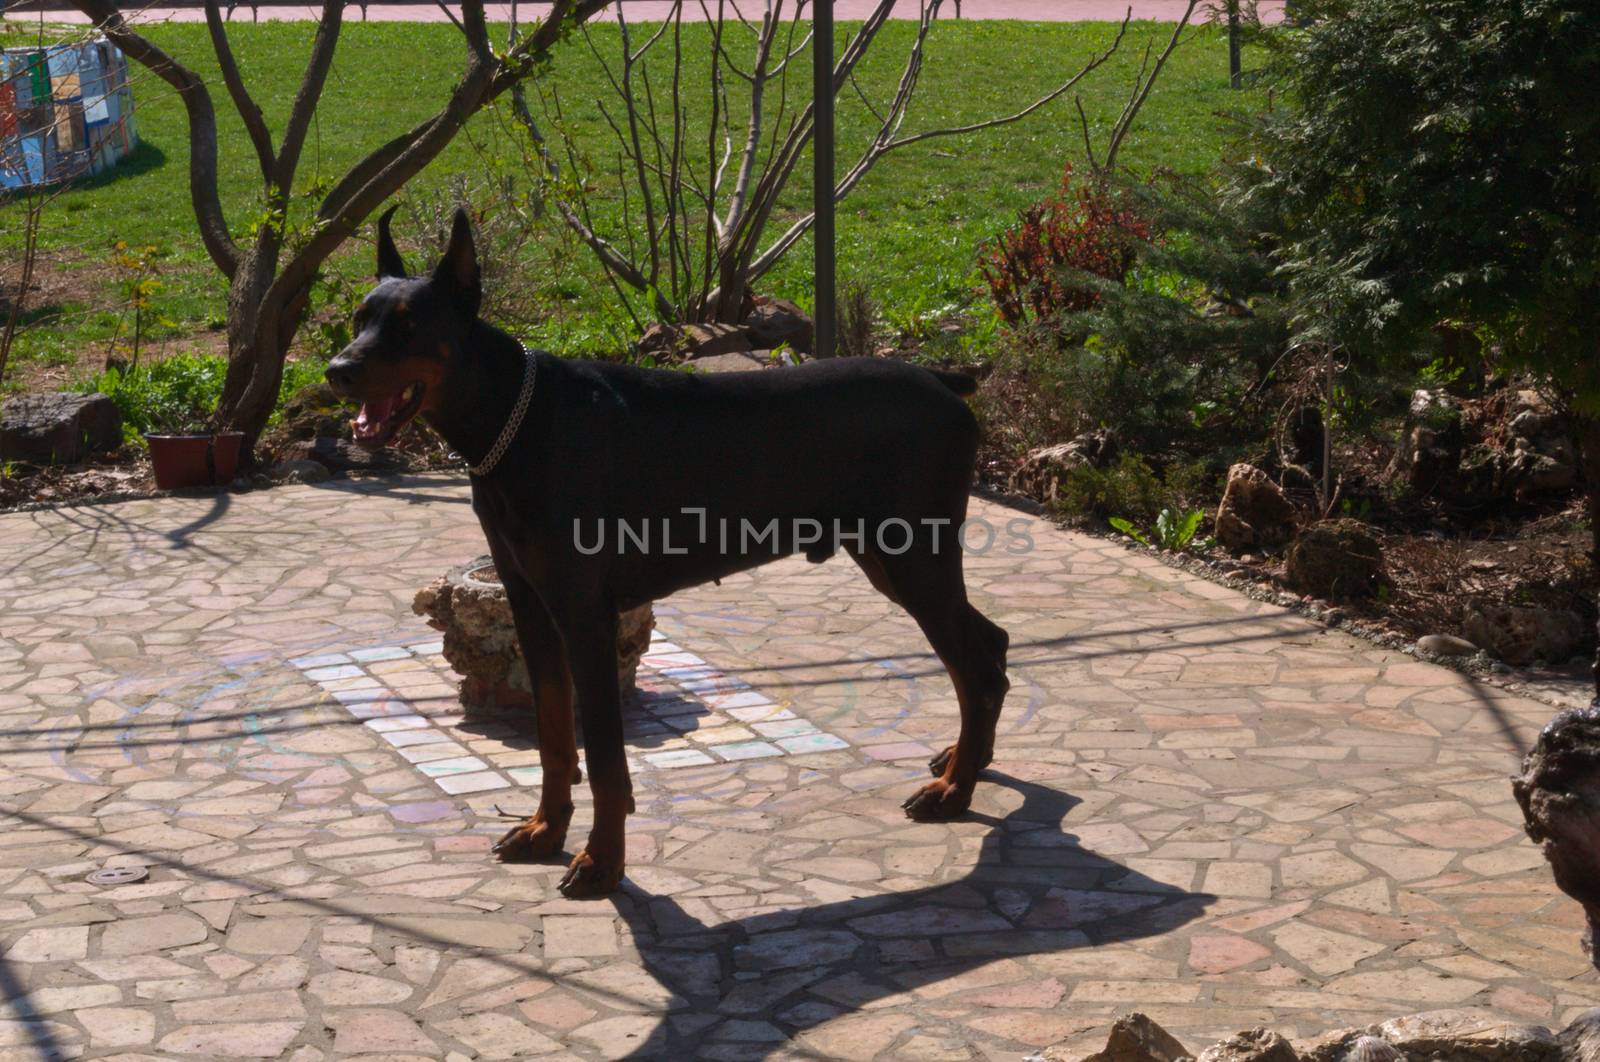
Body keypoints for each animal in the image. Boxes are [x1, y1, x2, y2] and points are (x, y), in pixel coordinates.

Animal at [324, 209, 1011, 895]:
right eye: (359, 319)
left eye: (409, 325)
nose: (336, 371)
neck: (512, 422)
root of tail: (942, 380)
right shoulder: (529, 603)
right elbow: (553, 733)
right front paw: (545, 829)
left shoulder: (585, 614)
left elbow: (604, 756)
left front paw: (601, 860)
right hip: (887, 556)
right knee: (990, 645)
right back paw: (967, 760)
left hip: (914, 557)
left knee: (975, 663)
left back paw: (953, 790)